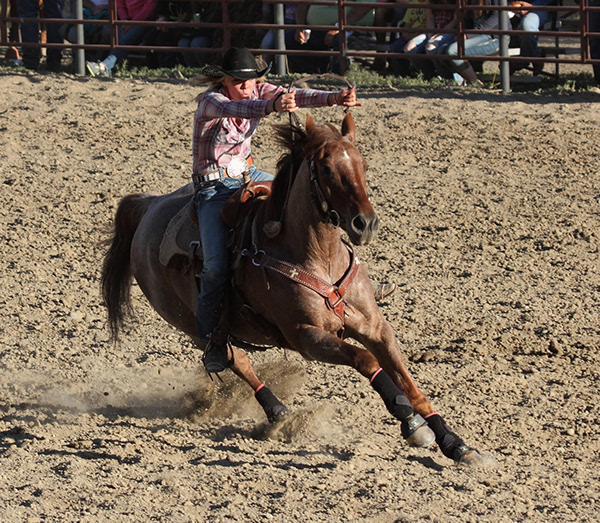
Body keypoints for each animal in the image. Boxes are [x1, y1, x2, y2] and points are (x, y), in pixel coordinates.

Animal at [101, 112, 486, 464]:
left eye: (363, 163)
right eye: (327, 170)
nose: (365, 224)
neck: (317, 259)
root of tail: (150, 206)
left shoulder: (376, 327)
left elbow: (408, 382)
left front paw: (455, 444)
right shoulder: (307, 337)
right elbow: (366, 361)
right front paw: (410, 422)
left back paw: (279, 413)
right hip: (193, 325)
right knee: (235, 360)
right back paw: (276, 411)